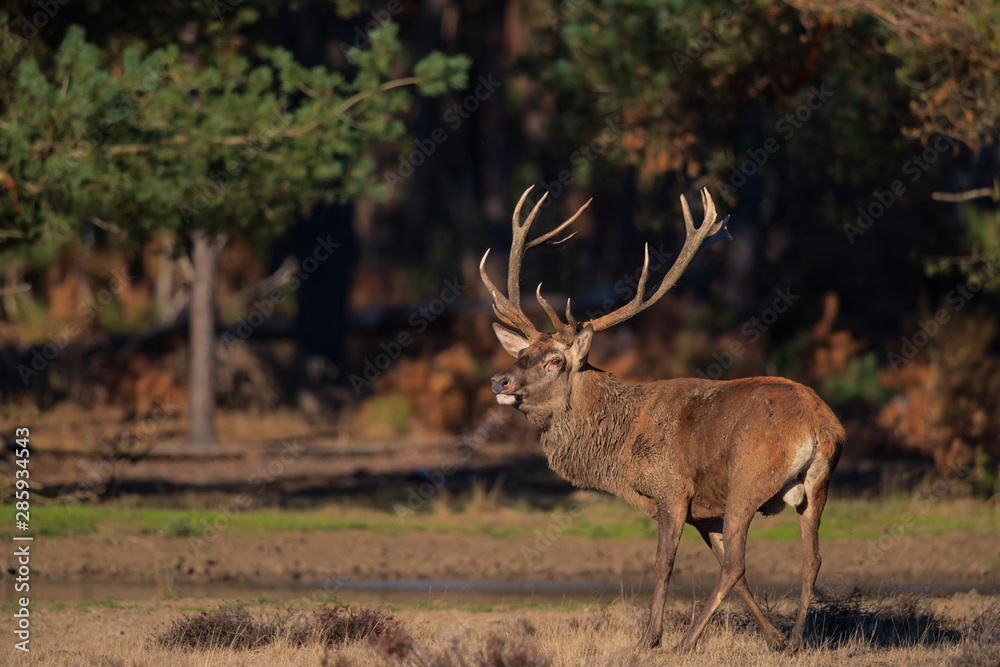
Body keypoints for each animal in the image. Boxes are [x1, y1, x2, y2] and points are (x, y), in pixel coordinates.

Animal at [480, 186, 845, 651]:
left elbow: (664, 563)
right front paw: (774, 637)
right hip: (816, 486)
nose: (499, 380)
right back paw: (796, 640)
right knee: (809, 559)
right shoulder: (704, 510)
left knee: (738, 563)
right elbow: (734, 576)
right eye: (521, 352)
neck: (621, 449)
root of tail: (820, 427)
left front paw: (648, 638)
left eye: (555, 361)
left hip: (749, 475)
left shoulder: (672, 489)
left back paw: (685, 641)